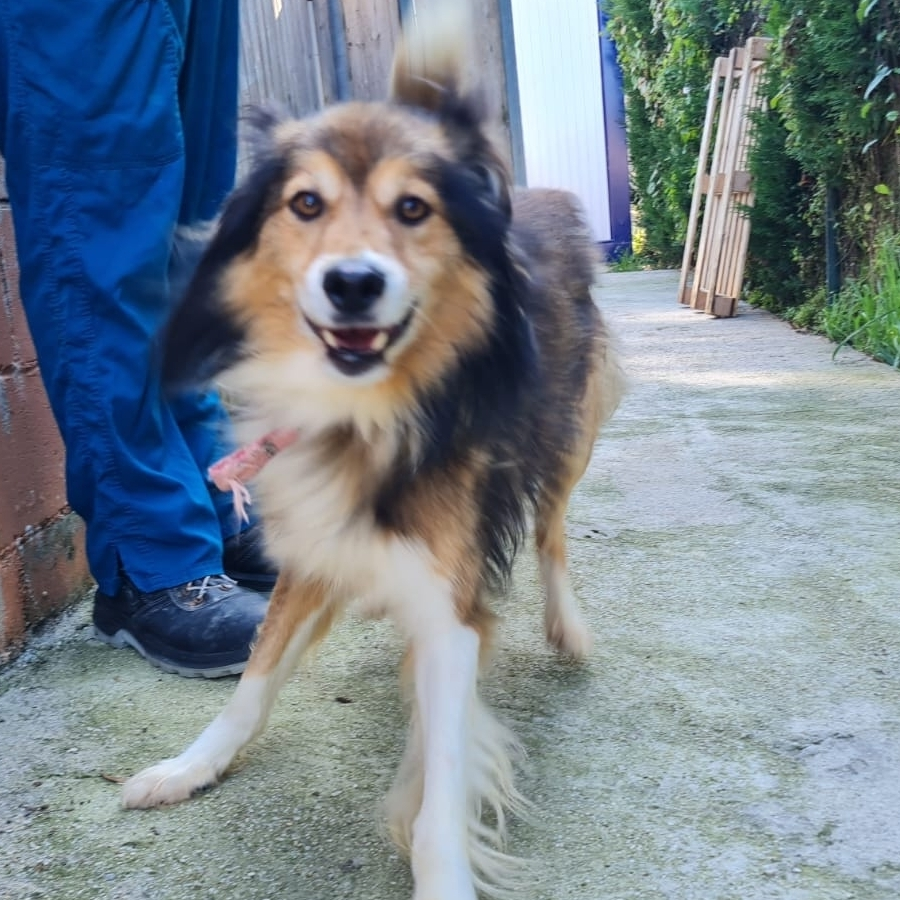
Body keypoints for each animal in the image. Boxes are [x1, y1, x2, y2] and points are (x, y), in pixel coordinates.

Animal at [122, 6, 623, 898]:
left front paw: (440, 865)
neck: (366, 416)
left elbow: (443, 779)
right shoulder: (313, 551)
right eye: (305, 203)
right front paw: (191, 767)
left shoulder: (453, 613)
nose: (352, 283)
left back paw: (566, 624)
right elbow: (252, 682)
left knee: (552, 530)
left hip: (572, 430)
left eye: (414, 208)